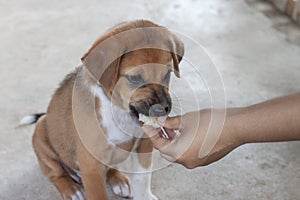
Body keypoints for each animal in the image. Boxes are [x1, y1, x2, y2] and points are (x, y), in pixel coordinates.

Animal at [20, 19, 183, 200]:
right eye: (134, 78)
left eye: (168, 74)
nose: (163, 110)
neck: (118, 112)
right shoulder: (91, 165)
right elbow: (98, 194)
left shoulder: (144, 143)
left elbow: (143, 177)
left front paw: (144, 196)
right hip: (42, 135)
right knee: (55, 174)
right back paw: (72, 189)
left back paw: (119, 180)